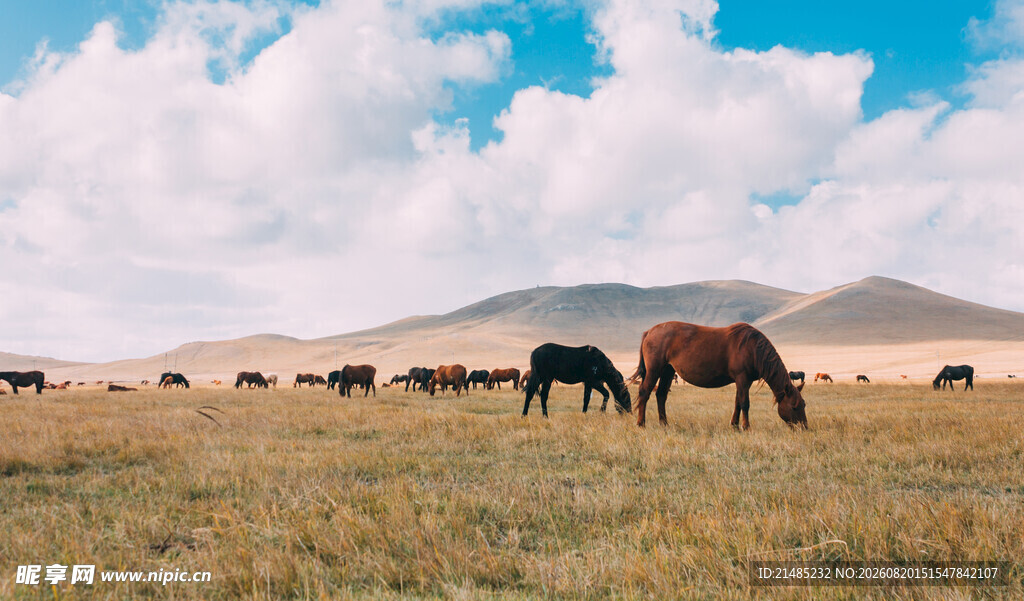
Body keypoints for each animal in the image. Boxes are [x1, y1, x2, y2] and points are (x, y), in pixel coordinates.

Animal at [633, 322, 806, 430]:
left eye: (803, 405)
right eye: (794, 406)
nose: (804, 428)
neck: (752, 348)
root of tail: (650, 332)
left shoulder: (743, 381)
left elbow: (738, 402)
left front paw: (735, 425)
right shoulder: (742, 379)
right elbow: (745, 403)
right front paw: (746, 427)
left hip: (668, 371)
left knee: (661, 394)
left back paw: (664, 424)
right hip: (655, 370)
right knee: (645, 392)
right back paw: (641, 424)